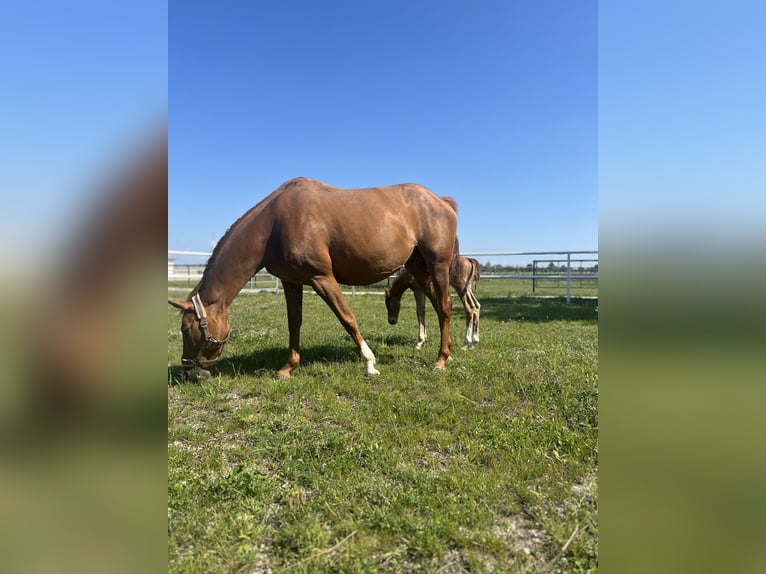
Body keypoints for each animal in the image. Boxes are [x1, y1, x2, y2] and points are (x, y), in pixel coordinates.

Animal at [169, 177, 458, 381]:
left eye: (186, 329)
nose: (190, 373)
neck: (273, 226)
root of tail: (442, 201)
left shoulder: (322, 278)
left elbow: (347, 318)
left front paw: (369, 364)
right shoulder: (292, 282)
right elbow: (294, 323)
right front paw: (287, 367)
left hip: (438, 266)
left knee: (445, 307)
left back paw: (441, 360)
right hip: (418, 268)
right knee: (438, 306)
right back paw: (448, 354)